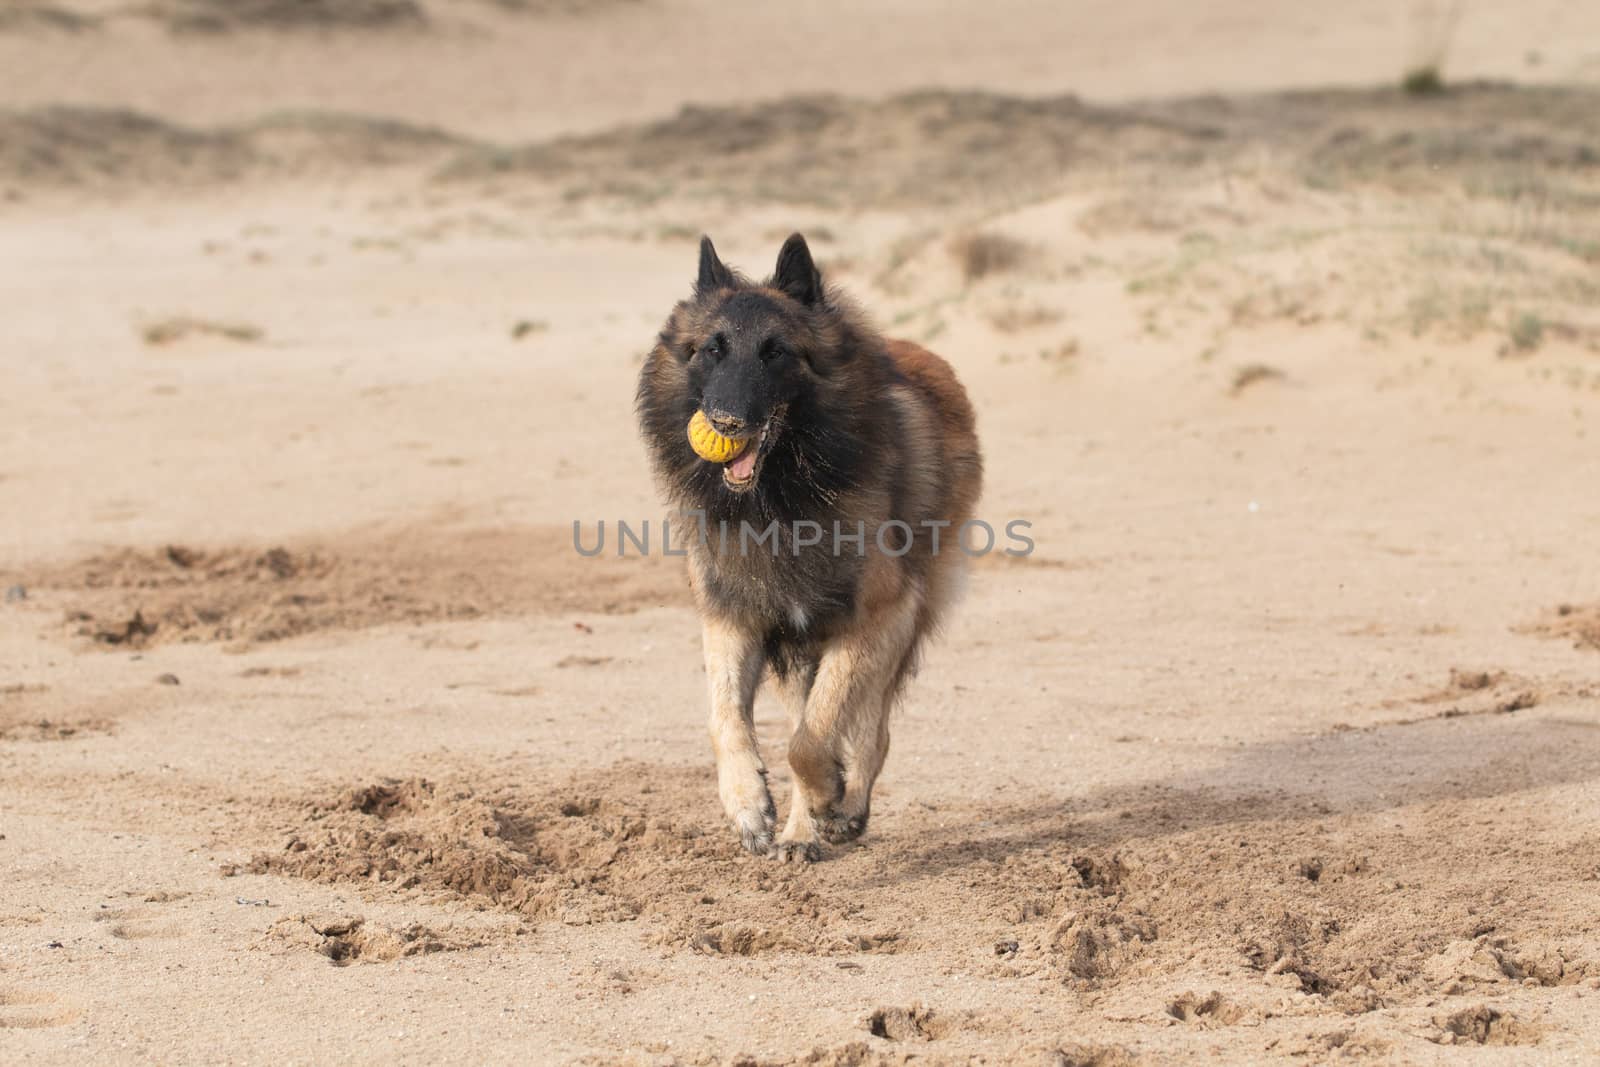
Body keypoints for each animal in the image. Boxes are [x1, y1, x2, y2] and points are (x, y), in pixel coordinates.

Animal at [630, 231, 979, 857]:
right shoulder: (736, 615)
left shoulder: (872, 619)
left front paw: (828, 798)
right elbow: (726, 719)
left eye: (775, 353)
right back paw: (802, 830)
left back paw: (844, 808)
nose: (725, 422)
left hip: (894, 628)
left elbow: (811, 740)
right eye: (713, 349)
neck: (781, 500)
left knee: (869, 729)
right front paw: (749, 804)